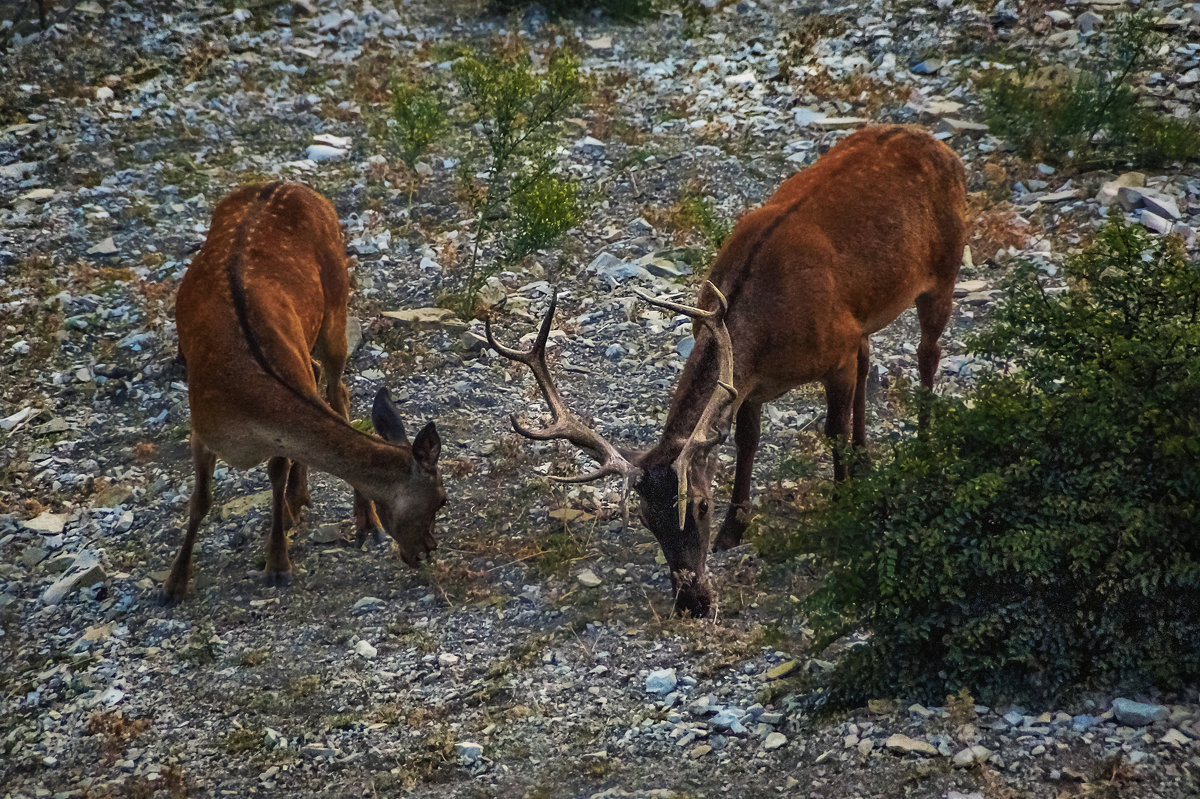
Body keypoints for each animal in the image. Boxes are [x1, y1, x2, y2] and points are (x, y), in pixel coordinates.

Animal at [166, 182, 448, 604]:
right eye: (441, 499)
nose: (428, 550)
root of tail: (286, 183)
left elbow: (276, 476)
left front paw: (278, 563)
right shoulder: (201, 425)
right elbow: (200, 501)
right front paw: (174, 582)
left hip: (336, 305)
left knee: (337, 391)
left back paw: (362, 522)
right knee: (323, 380)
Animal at [487, 124, 964, 611]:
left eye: (699, 506)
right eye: (645, 518)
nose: (691, 600)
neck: (768, 326)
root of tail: (935, 141)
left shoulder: (837, 350)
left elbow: (833, 429)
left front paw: (842, 503)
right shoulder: (752, 381)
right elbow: (746, 440)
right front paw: (735, 529)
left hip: (944, 273)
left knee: (928, 353)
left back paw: (924, 444)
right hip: (867, 317)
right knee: (872, 361)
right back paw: (867, 459)